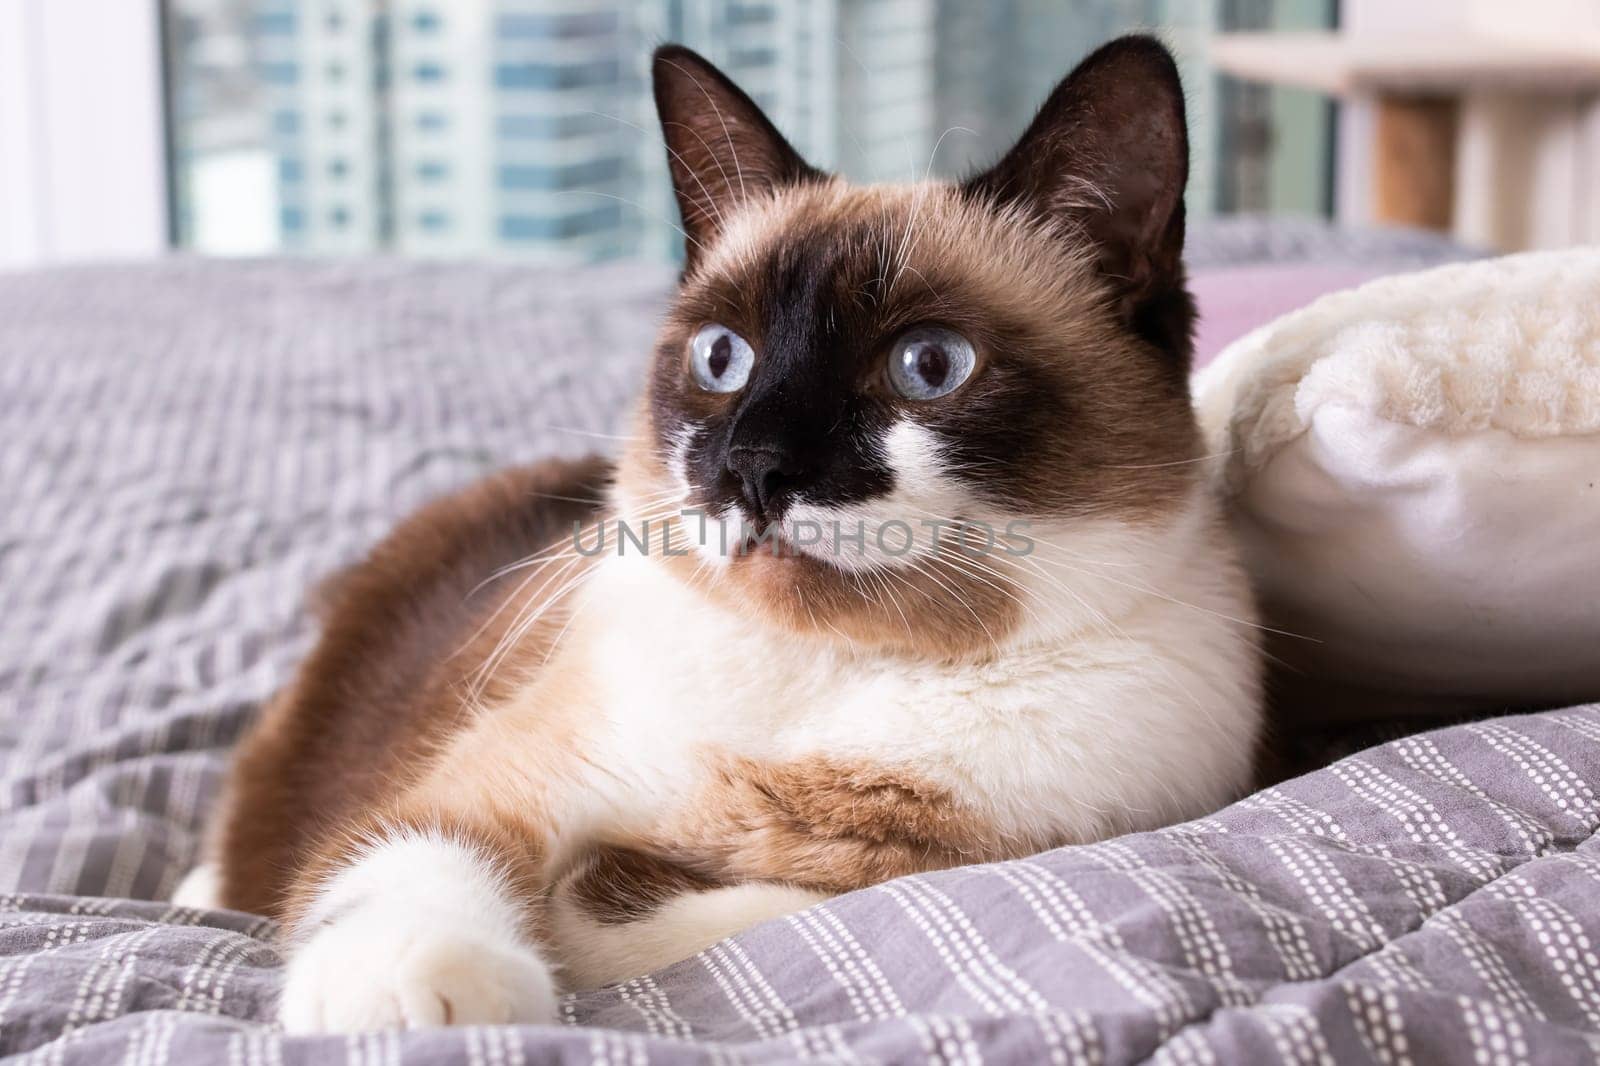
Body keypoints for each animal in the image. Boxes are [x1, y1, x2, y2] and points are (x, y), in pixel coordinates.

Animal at [175, 35, 1267, 1030]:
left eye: (929, 365)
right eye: (721, 357)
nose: (750, 466)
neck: (830, 673)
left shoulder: (992, 855)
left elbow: (727, 904)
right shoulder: (490, 788)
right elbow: (416, 862)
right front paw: (412, 1010)